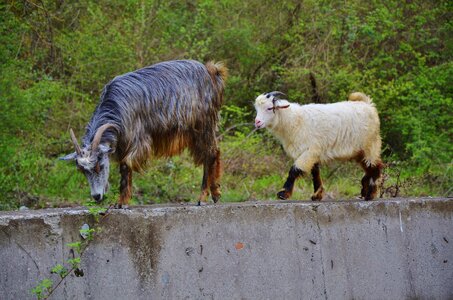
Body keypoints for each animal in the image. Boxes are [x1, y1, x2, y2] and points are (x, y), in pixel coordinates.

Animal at [61, 60, 226, 207]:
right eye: (82, 170)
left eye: (99, 165)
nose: (96, 196)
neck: (116, 106)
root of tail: (211, 71)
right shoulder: (122, 143)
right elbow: (124, 169)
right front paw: (124, 200)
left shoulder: (137, 139)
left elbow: (126, 166)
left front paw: (121, 202)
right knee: (215, 151)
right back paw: (216, 193)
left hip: (203, 125)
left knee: (209, 154)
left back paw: (203, 197)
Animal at [254, 90, 382, 200]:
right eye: (257, 109)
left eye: (269, 108)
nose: (257, 122)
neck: (295, 120)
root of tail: (367, 104)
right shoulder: (312, 153)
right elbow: (315, 173)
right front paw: (317, 195)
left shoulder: (310, 150)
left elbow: (294, 170)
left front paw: (283, 193)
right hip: (359, 151)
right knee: (369, 168)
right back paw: (365, 191)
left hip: (370, 145)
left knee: (376, 167)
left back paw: (370, 194)